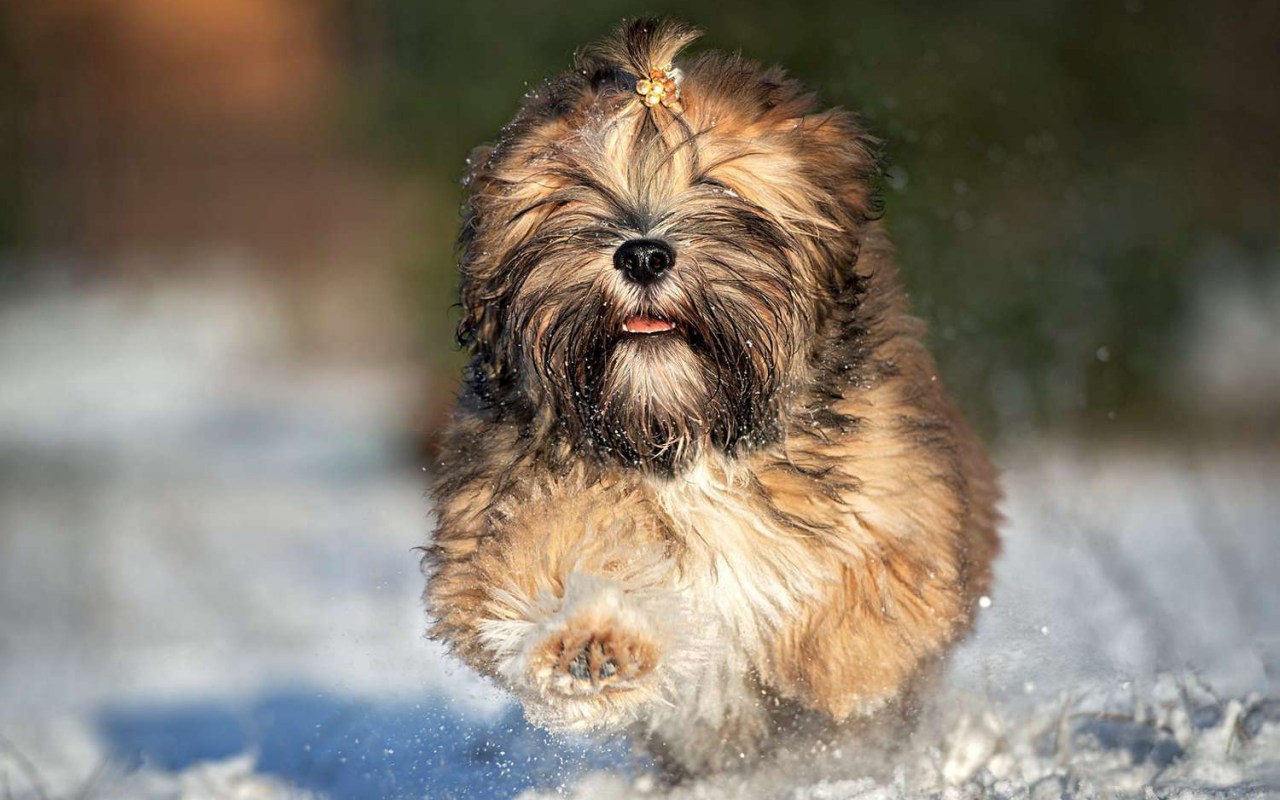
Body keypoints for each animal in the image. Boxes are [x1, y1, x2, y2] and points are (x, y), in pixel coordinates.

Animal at [419, 18, 998, 778]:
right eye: (578, 188)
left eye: (716, 184)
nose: (642, 254)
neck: (685, 430)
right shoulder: (512, 498)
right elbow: (549, 548)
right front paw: (588, 643)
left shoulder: (895, 479)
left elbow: (876, 572)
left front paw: (850, 662)